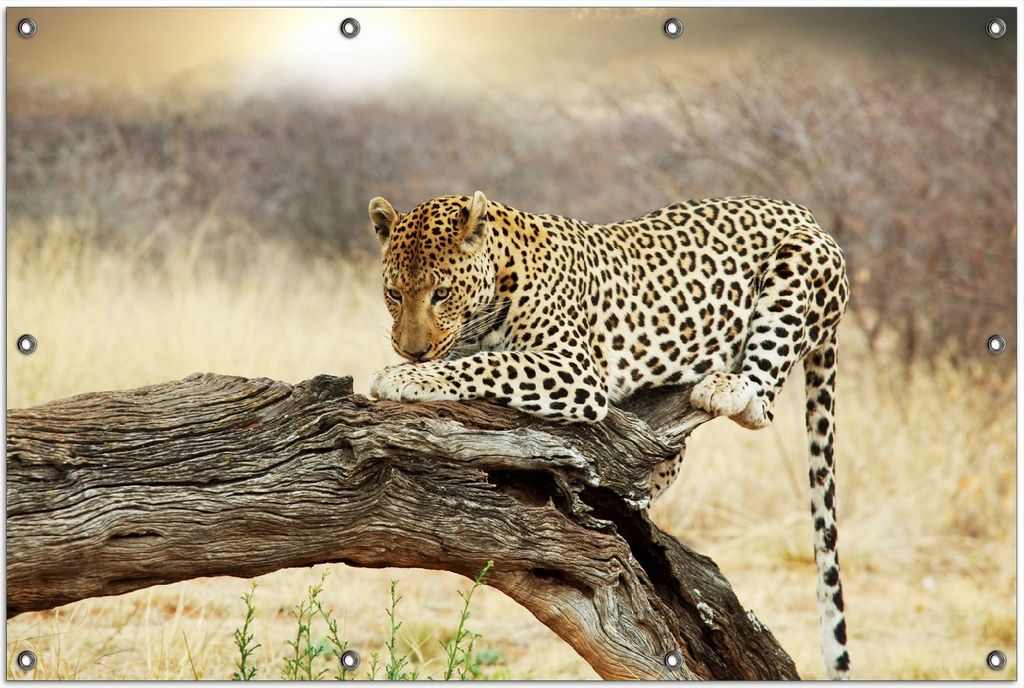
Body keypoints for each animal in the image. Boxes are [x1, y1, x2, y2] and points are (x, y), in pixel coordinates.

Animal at [367, 191, 851, 679]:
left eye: (441, 294)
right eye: (394, 294)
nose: (411, 350)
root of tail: (803, 212)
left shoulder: (573, 368)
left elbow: (488, 363)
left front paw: (405, 377)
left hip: (800, 261)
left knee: (761, 403)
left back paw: (726, 387)